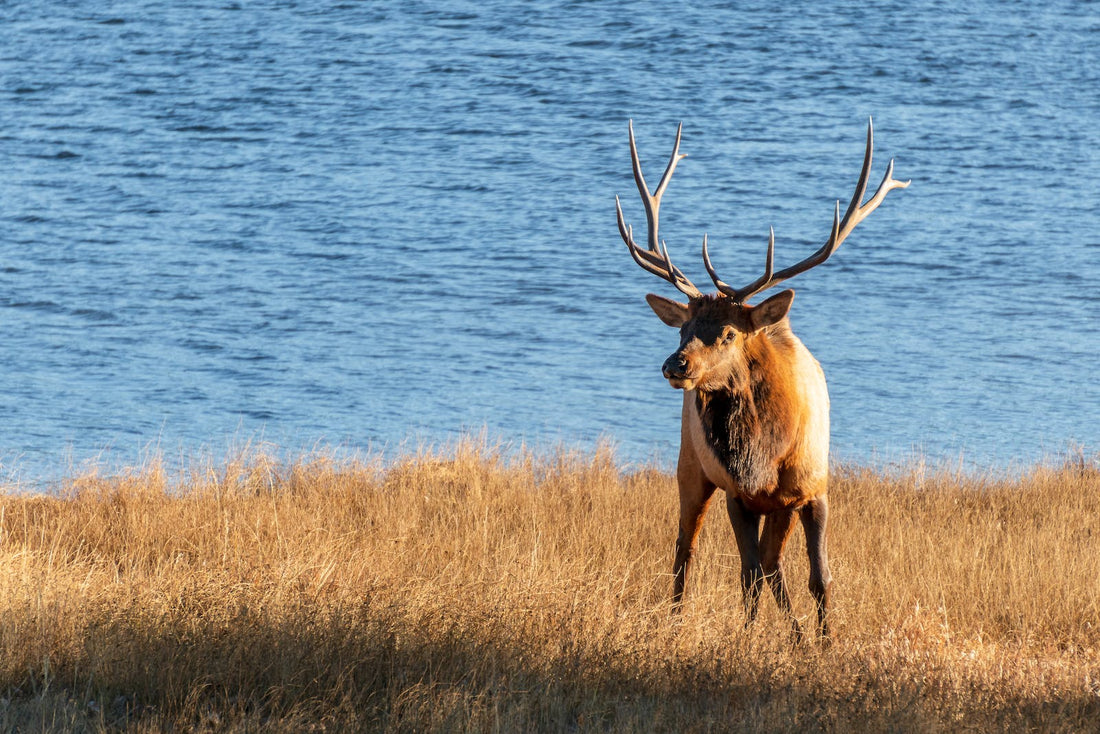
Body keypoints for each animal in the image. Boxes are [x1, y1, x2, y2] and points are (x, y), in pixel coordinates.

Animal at [620, 119, 910, 638]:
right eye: (684, 328)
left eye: (729, 333)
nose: (676, 365)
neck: (768, 456)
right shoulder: (739, 496)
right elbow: (747, 576)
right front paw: (749, 637)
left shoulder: (814, 489)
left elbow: (819, 577)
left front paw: (824, 642)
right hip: (691, 466)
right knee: (687, 549)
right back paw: (675, 621)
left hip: (778, 506)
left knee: (774, 564)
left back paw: (795, 636)